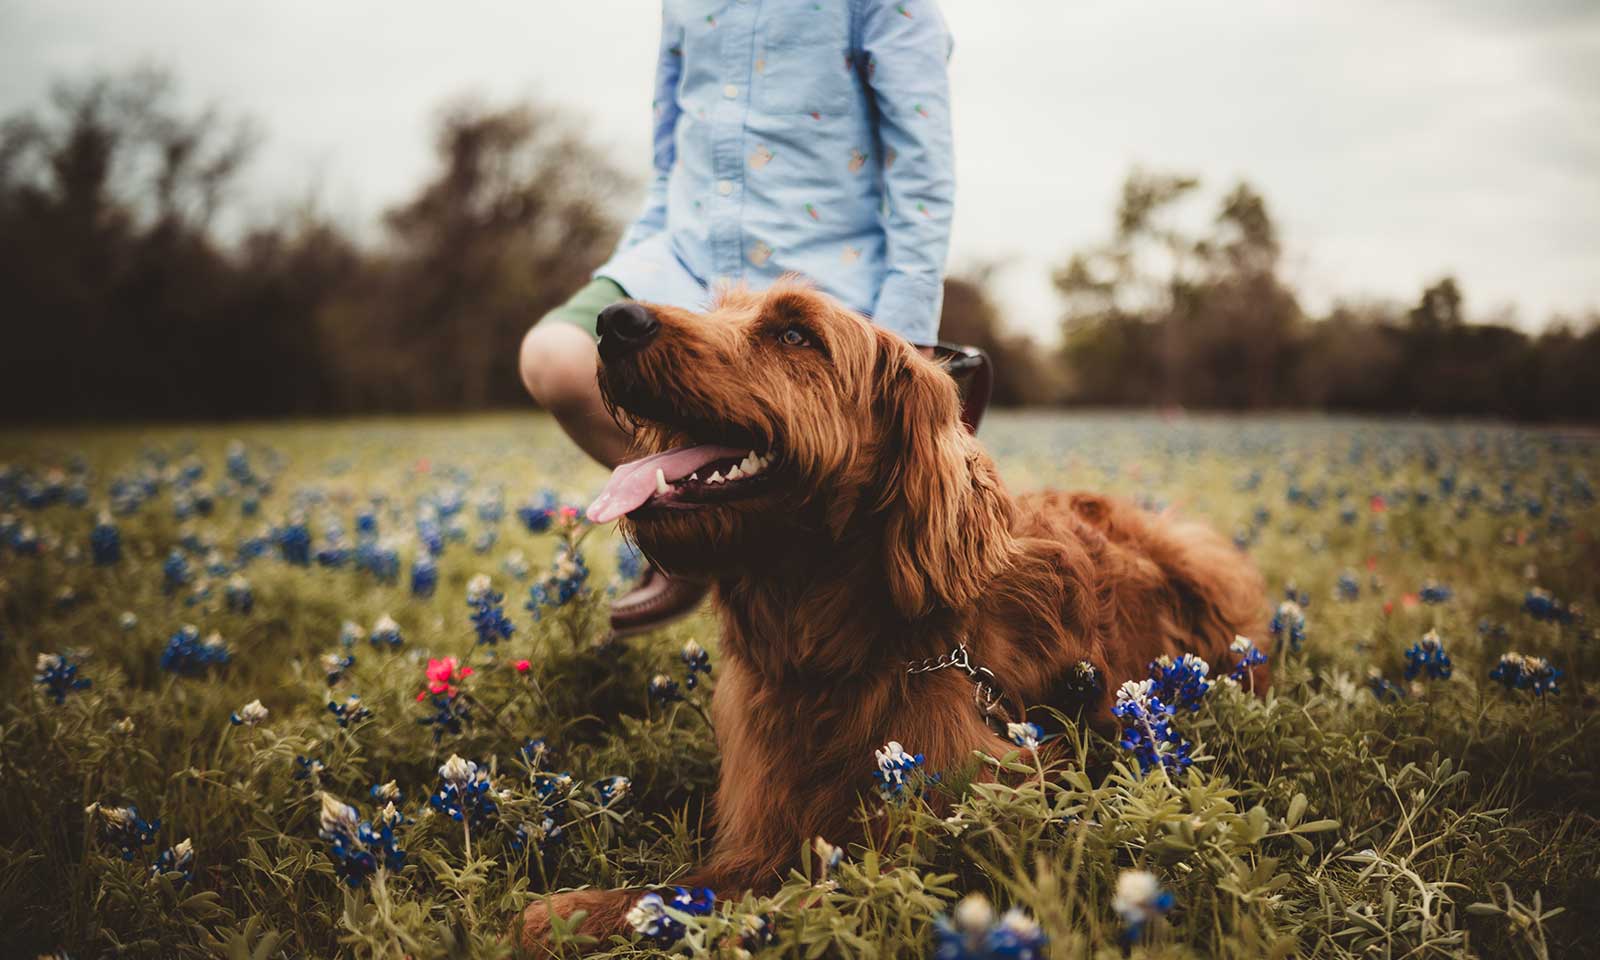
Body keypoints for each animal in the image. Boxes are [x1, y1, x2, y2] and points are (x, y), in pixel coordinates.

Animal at [512, 276, 1260, 947]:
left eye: (795, 334)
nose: (616, 320)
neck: (829, 646)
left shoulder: (929, 837)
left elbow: (765, 905)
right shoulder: (762, 826)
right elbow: (674, 895)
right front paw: (569, 913)